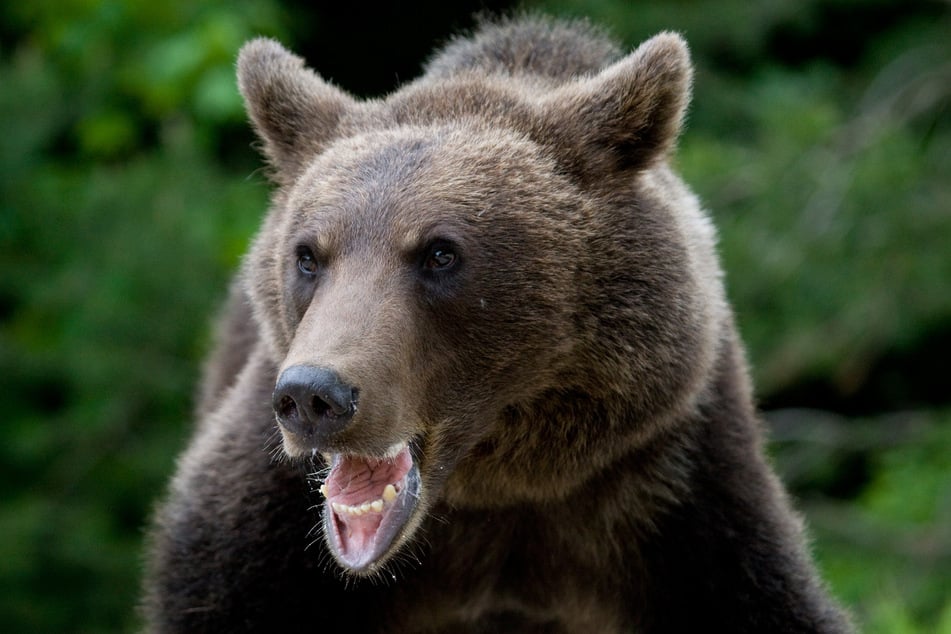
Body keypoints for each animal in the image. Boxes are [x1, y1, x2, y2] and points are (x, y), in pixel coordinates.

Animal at [141, 14, 856, 632]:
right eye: (308, 255)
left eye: (439, 252)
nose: (314, 394)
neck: (497, 490)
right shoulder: (266, 540)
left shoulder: (675, 490)